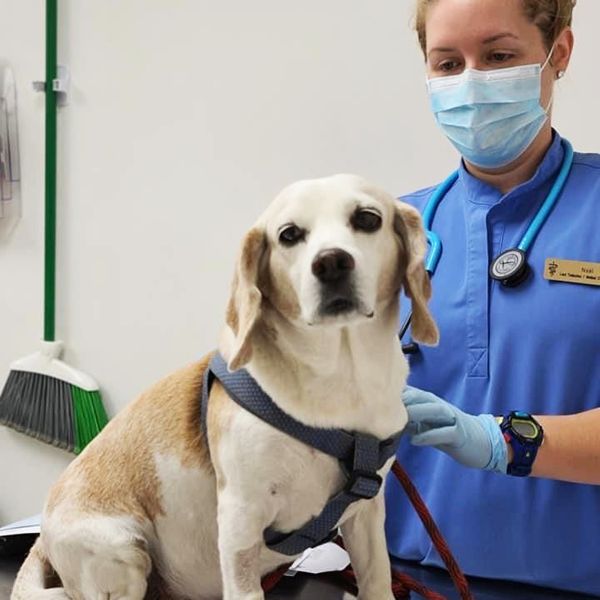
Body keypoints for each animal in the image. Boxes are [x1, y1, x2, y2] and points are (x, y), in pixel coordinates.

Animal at [11, 173, 438, 600]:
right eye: (289, 234)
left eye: (367, 219)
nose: (331, 262)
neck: (340, 381)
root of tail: (41, 537)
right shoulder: (240, 521)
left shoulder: (366, 514)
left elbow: (377, 579)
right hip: (122, 549)